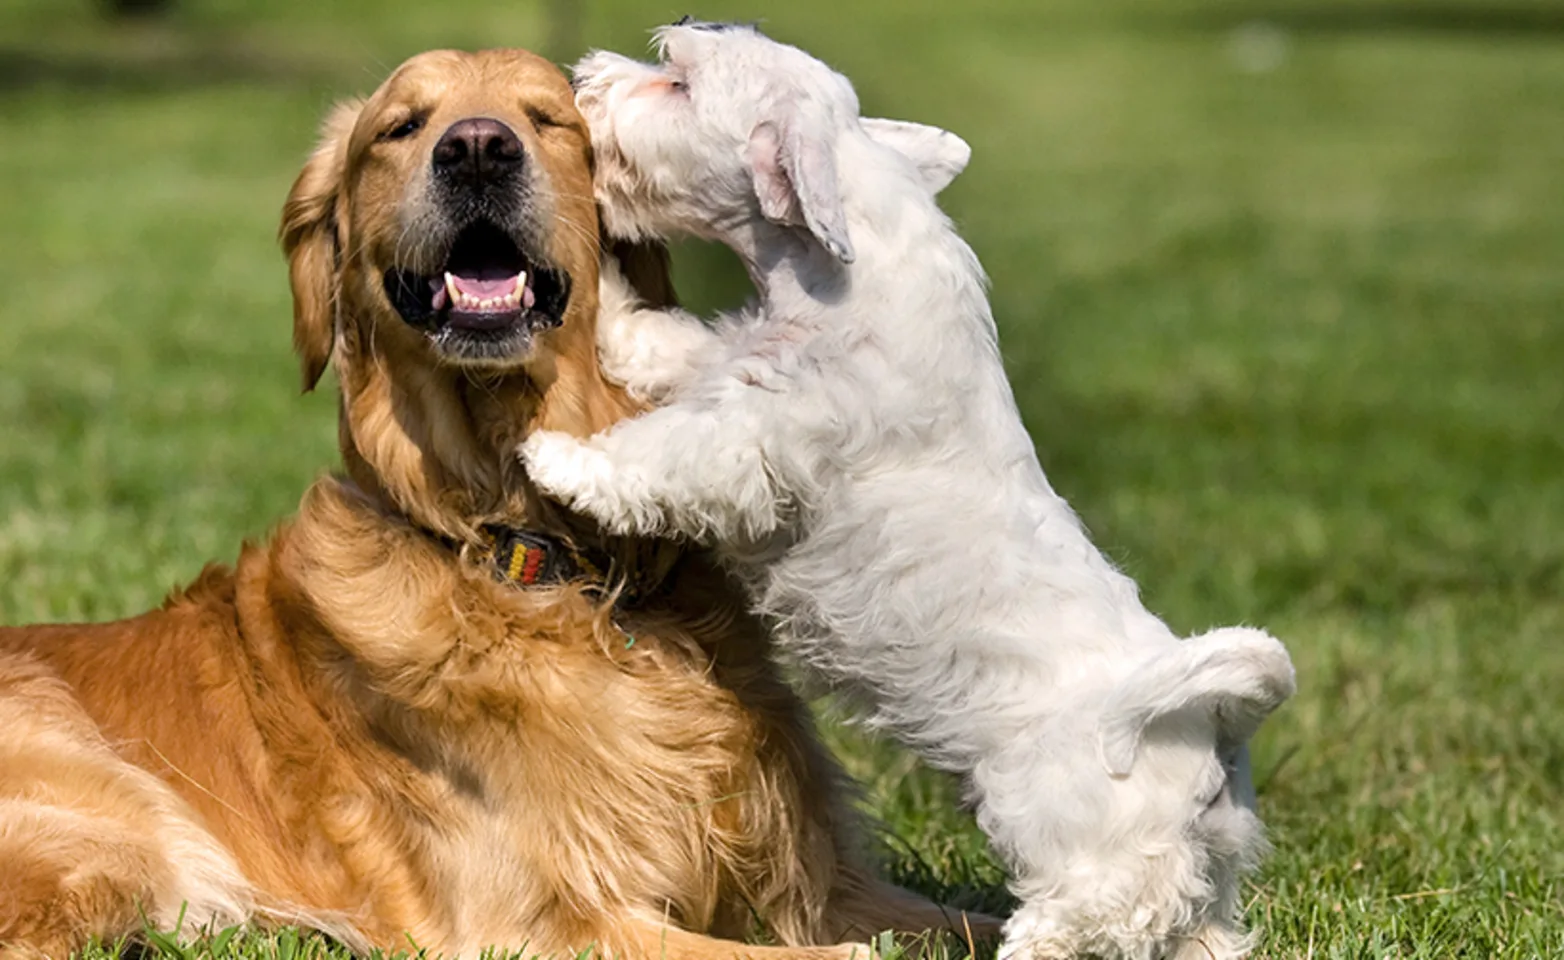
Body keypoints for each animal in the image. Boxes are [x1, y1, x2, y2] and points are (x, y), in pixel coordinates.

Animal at [0, 48, 988, 960]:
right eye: (402, 127)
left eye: (549, 120)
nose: (476, 148)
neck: (542, 563)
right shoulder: (545, 923)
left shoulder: (824, 883)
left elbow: (962, 921)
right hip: (127, 839)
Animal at [525, 20, 1294, 956]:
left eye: (678, 82)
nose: (584, 78)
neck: (849, 274)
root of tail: (1213, 728)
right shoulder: (729, 364)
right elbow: (666, 345)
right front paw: (607, 299)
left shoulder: (754, 445)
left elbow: (662, 455)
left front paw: (557, 460)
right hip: (1206, 885)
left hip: (1080, 843)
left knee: (1089, 910)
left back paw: (1022, 941)